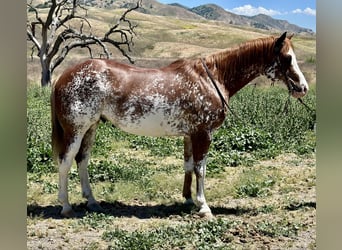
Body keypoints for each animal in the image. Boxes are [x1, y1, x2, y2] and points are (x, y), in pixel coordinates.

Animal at [51, 32, 310, 218]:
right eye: (287, 58)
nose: (303, 88)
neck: (211, 79)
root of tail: (63, 76)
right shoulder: (203, 134)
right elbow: (200, 169)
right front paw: (204, 207)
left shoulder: (190, 135)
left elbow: (188, 166)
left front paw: (188, 199)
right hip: (76, 129)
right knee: (66, 161)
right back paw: (66, 206)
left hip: (91, 127)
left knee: (82, 160)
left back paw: (92, 202)